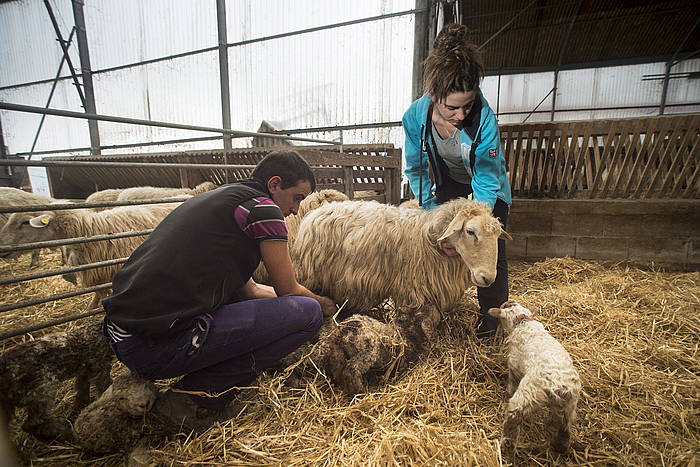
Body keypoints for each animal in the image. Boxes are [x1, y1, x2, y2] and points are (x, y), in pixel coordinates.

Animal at [486, 302, 580, 458]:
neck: (523, 322)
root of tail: (559, 388)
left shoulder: (514, 366)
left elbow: (511, 385)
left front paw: (506, 394)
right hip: (569, 406)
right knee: (565, 429)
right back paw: (559, 448)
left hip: (529, 394)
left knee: (514, 416)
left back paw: (506, 447)